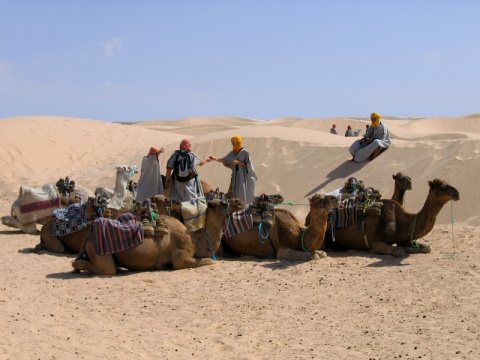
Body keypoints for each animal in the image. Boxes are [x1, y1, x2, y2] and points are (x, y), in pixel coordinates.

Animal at [71, 197, 246, 276]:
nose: (240, 201)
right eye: (222, 203)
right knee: (105, 268)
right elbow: (209, 261)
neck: (197, 241)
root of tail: (90, 236)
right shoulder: (181, 258)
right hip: (99, 252)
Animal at [324, 179, 460, 258]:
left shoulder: (405, 237)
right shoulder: (375, 243)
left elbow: (427, 247)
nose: (457, 193)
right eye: (442, 187)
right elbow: (399, 251)